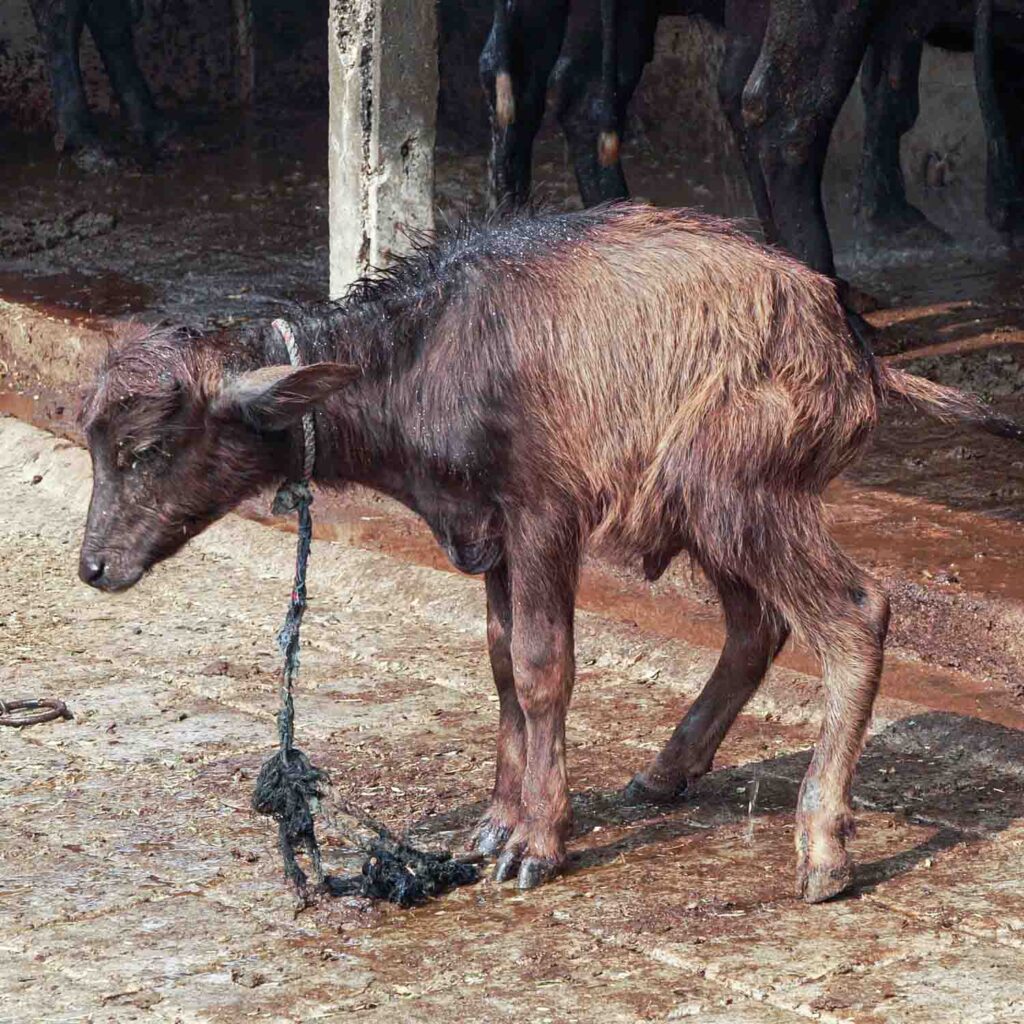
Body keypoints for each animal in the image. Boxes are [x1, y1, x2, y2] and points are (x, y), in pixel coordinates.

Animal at [77, 203, 1024, 901]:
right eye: (94, 441)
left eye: (145, 448)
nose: (92, 567)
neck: (426, 355)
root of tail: (851, 343)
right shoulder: (488, 535)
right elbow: (500, 664)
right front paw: (499, 816)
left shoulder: (542, 521)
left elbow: (541, 669)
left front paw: (537, 839)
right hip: (710, 512)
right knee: (760, 626)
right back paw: (667, 773)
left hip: (740, 494)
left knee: (856, 613)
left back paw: (822, 847)